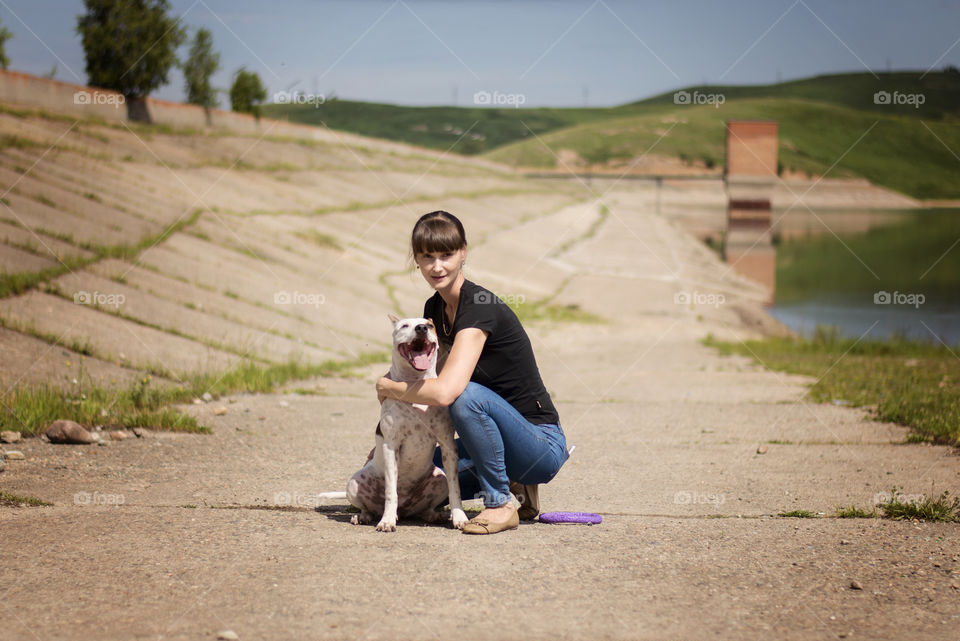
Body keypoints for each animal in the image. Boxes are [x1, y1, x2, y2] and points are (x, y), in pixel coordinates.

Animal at [344, 316, 470, 528]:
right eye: (404, 325)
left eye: (429, 325)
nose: (421, 328)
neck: (415, 385)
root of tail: (404, 510)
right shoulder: (391, 445)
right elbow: (390, 491)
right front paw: (386, 521)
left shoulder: (447, 445)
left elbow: (456, 488)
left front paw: (459, 517)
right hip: (354, 483)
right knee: (368, 505)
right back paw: (364, 516)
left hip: (439, 478)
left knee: (428, 505)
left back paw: (432, 514)